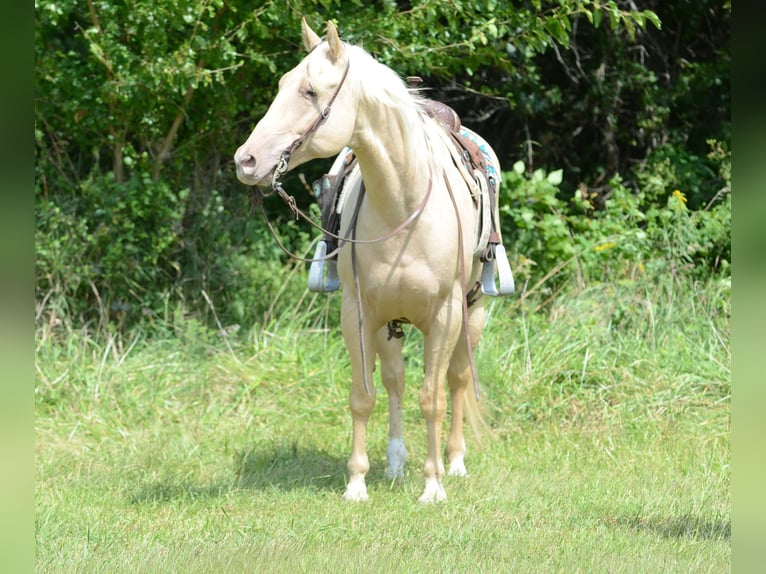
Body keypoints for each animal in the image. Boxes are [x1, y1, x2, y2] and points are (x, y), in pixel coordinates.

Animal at [235, 18, 509, 503]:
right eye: (283, 85)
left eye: (309, 91)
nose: (246, 161)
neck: (404, 204)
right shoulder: (358, 313)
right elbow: (363, 396)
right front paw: (357, 484)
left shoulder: (446, 315)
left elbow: (433, 398)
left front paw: (433, 486)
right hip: (389, 322)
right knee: (395, 380)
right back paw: (396, 463)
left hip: (472, 312)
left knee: (457, 380)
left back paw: (455, 462)